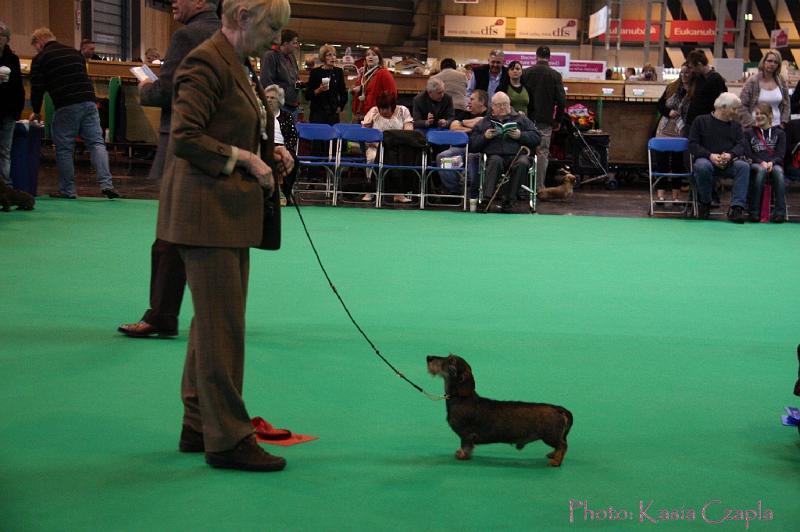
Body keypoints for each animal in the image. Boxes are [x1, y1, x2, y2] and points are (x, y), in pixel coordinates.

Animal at [428, 358, 572, 466]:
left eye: (450, 360)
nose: (428, 357)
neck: (462, 398)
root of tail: (558, 409)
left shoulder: (466, 435)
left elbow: (466, 446)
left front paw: (462, 455)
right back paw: (553, 454)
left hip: (550, 436)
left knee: (563, 445)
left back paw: (556, 461)